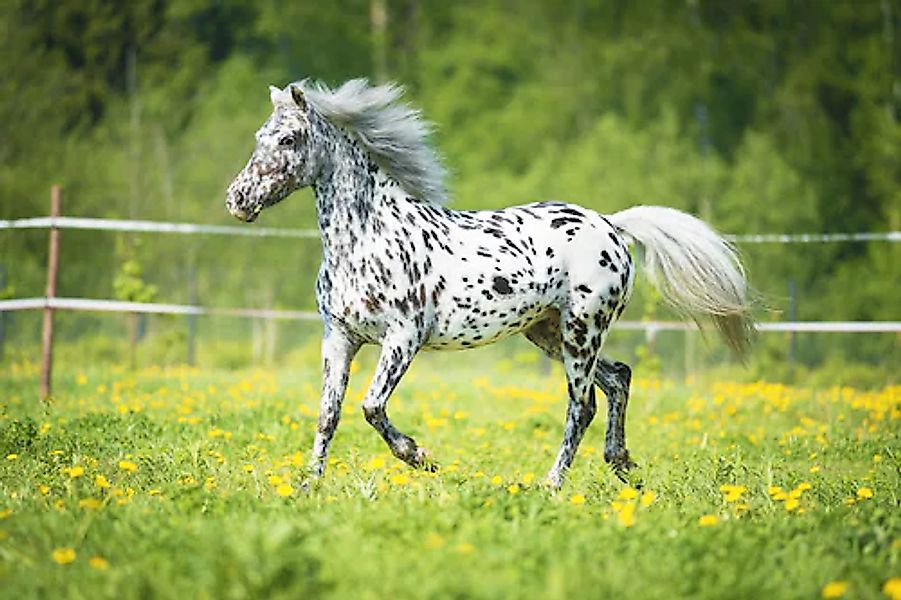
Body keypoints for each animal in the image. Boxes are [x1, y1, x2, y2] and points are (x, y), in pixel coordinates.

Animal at [227, 79, 752, 490]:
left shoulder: (403, 337)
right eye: (259, 137)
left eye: (289, 138)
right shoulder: (340, 336)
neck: (368, 237)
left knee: (582, 405)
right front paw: (309, 486)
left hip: (581, 331)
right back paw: (621, 464)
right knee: (618, 378)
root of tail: (610, 225)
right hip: (548, 332)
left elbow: (371, 406)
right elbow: (328, 414)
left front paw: (422, 457)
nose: (238, 200)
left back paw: (552, 484)